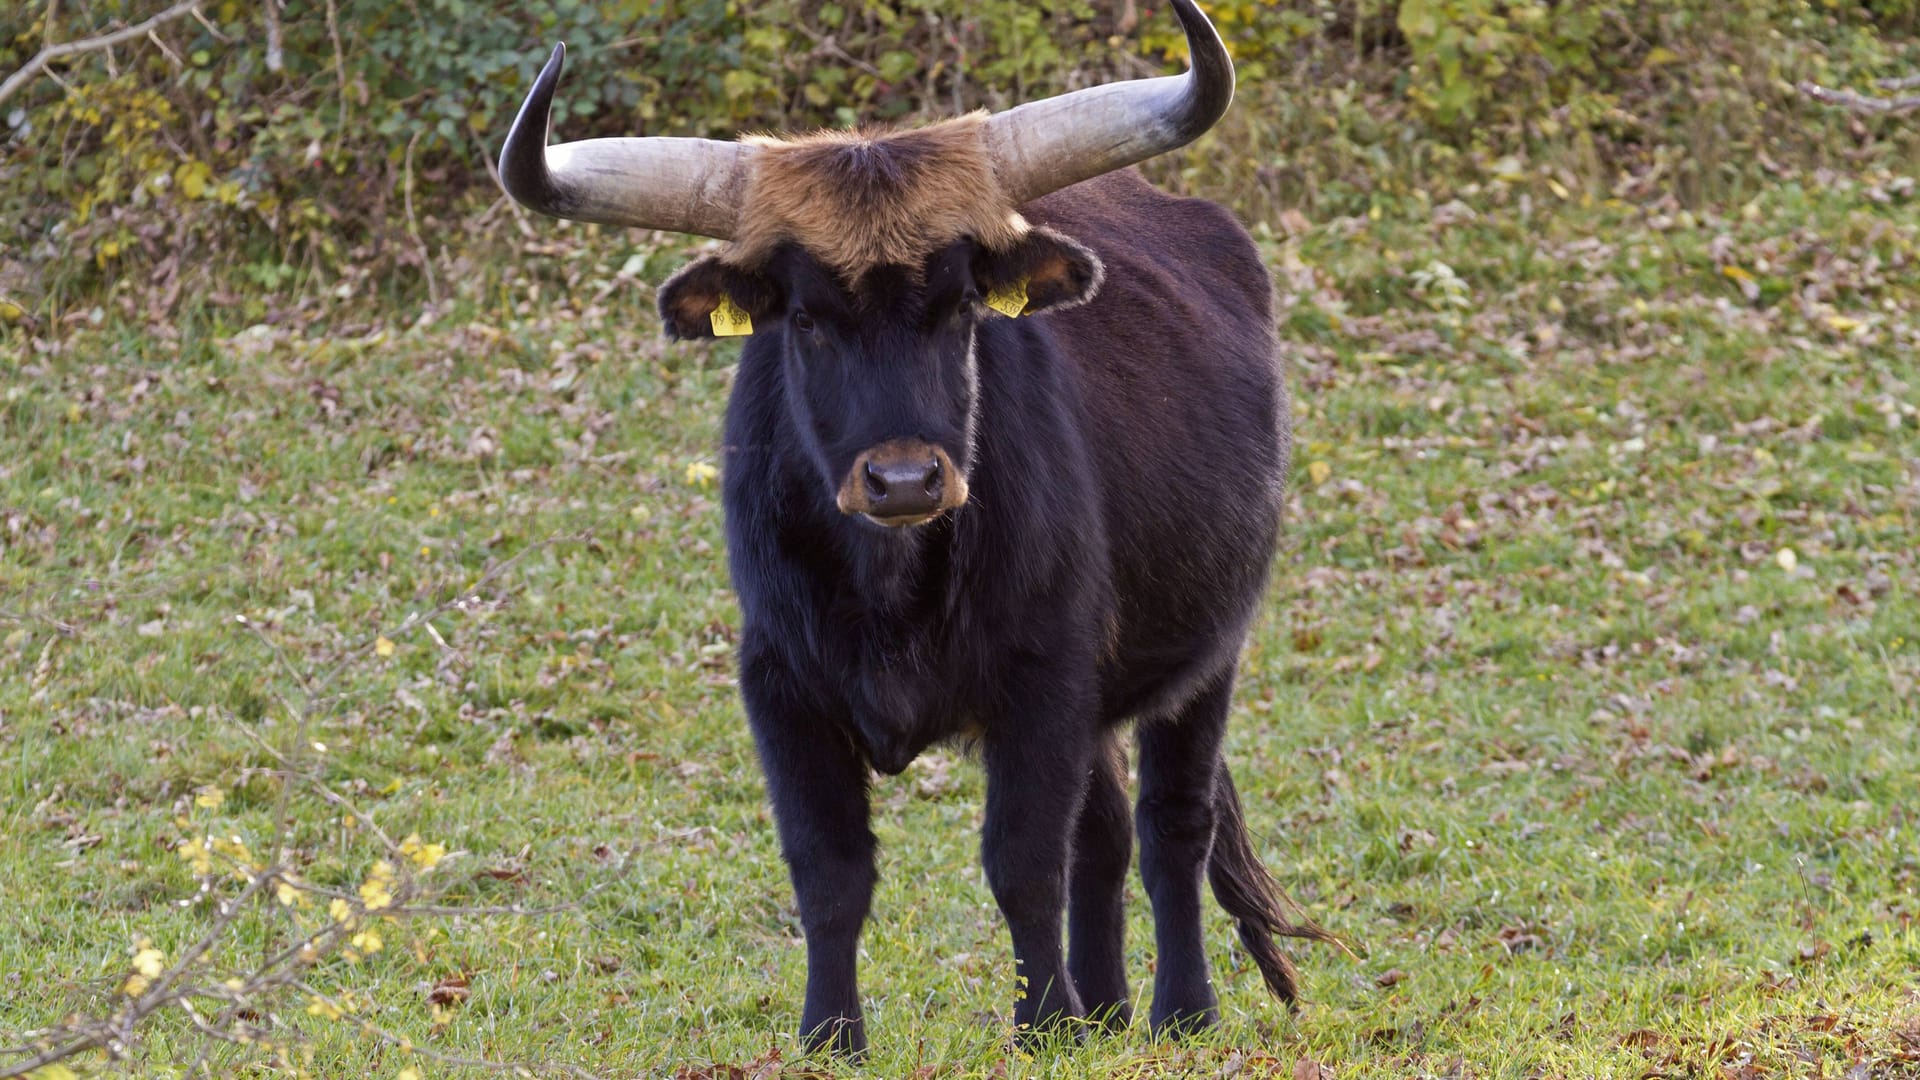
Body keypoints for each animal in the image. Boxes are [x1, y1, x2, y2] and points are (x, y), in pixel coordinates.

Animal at [648, 170, 1336, 1053]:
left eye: (961, 309)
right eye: (804, 319)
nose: (904, 480)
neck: (890, 594)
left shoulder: (1043, 679)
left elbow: (1024, 861)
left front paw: (1044, 1025)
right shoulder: (779, 686)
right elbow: (829, 870)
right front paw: (830, 1034)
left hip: (1206, 655)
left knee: (1172, 827)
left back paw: (1181, 1012)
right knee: (1106, 833)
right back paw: (1104, 1009)